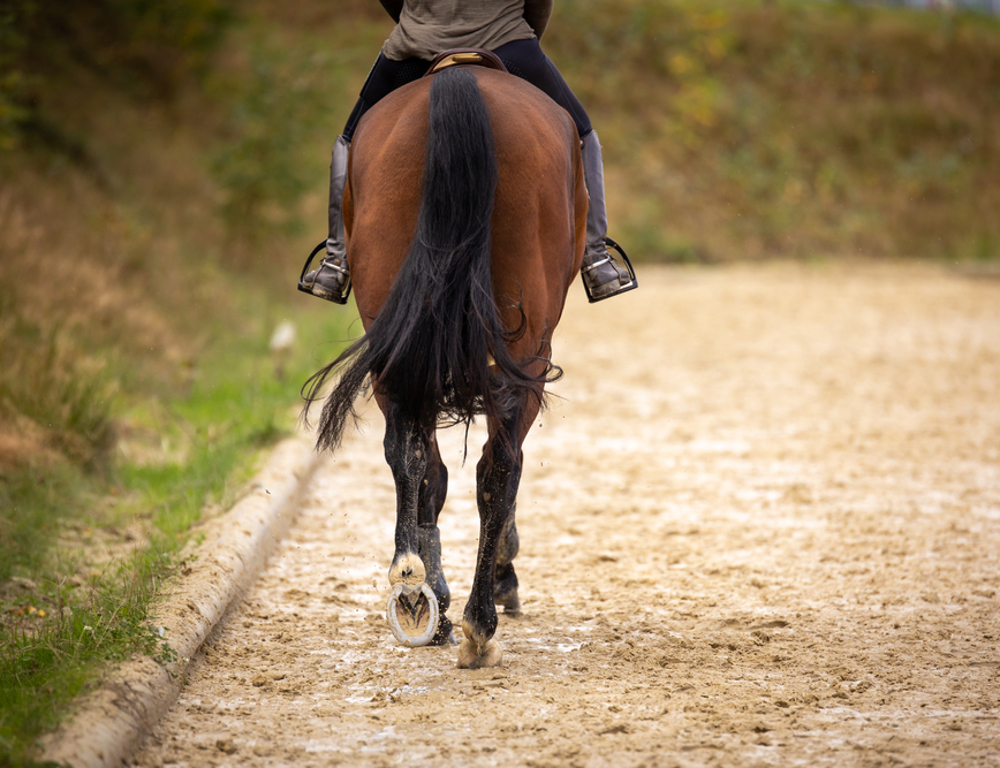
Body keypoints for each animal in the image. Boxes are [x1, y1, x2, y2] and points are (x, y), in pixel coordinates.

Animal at [302, 63, 584, 668]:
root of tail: (460, 79)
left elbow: (427, 469)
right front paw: (500, 575)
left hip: (398, 337)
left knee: (413, 456)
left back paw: (415, 592)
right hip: (527, 351)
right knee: (497, 465)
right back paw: (479, 618)